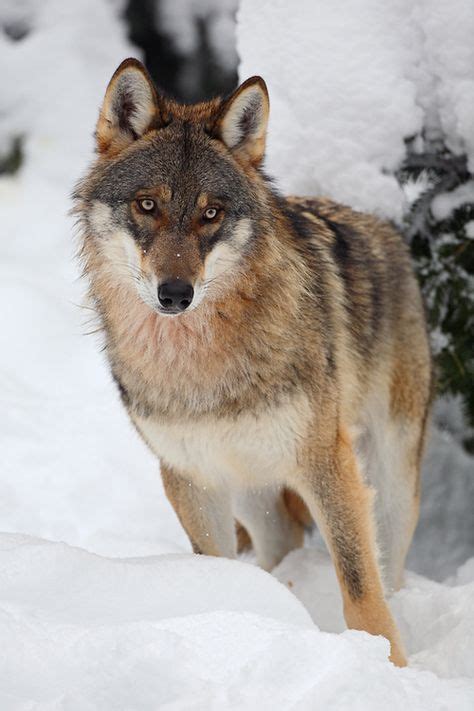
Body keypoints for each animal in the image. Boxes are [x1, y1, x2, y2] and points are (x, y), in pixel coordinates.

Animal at [74, 57, 434, 668]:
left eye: (211, 214)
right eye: (147, 205)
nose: (175, 294)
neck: (200, 367)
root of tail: (382, 227)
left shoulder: (326, 463)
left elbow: (362, 590)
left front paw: (387, 666)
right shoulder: (191, 479)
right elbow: (216, 568)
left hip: (388, 475)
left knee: (391, 567)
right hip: (250, 488)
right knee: (279, 543)